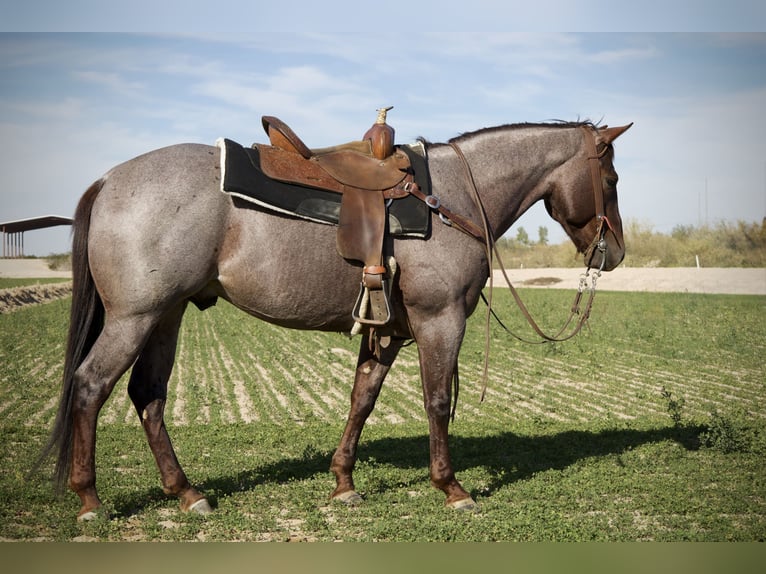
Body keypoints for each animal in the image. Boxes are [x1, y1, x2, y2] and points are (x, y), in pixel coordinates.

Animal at [39, 119, 631, 520]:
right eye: (611, 178)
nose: (615, 254)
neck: (456, 196)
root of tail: (109, 180)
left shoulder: (388, 331)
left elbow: (362, 397)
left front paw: (344, 481)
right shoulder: (439, 321)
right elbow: (438, 401)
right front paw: (451, 487)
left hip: (166, 315)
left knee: (148, 395)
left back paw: (187, 492)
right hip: (134, 318)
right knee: (90, 386)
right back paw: (90, 498)